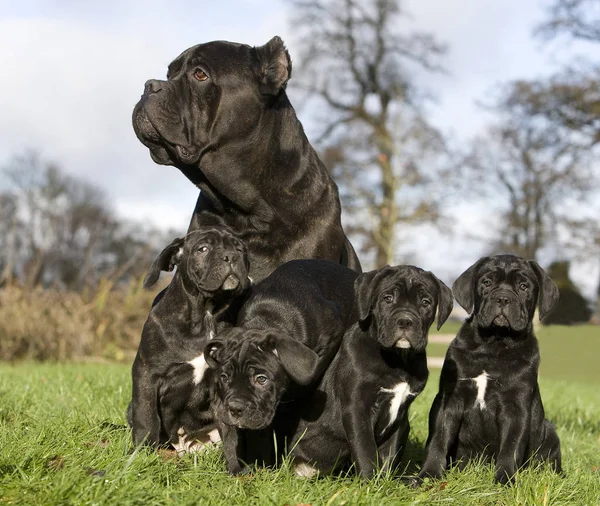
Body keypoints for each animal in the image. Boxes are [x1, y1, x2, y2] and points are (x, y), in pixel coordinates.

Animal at [127, 227, 250, 452]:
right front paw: (142, 451)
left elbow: (230, 429)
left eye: (239, 248)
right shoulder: (146, 373)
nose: (231, 256)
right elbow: (146, 417)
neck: (205, 314)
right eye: (203, 249)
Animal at [204, 258, 358, 476]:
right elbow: (232, 436)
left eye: (262, 379)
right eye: (224, 377)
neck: (267, 321)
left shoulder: (330, 335)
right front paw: (238, 468)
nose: (235, 408)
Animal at [288, 264, 452, 478]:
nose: (405, 321)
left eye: (426, 302)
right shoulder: (357, 408)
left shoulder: (401, 415)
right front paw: (370, 480)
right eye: (387, 298)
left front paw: (385, 480)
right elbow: (365, 448)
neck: (398, 359)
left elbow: (389, 452)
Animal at [418, 255, 564, 484]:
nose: (503, 299)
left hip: (549, 431)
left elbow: (510, 447)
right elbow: (439, 439)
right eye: (486, 283)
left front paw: (505, 480)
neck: (493, 345)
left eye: (524, 287)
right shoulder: (450, 399)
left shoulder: (516, 407)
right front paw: (428, 475)